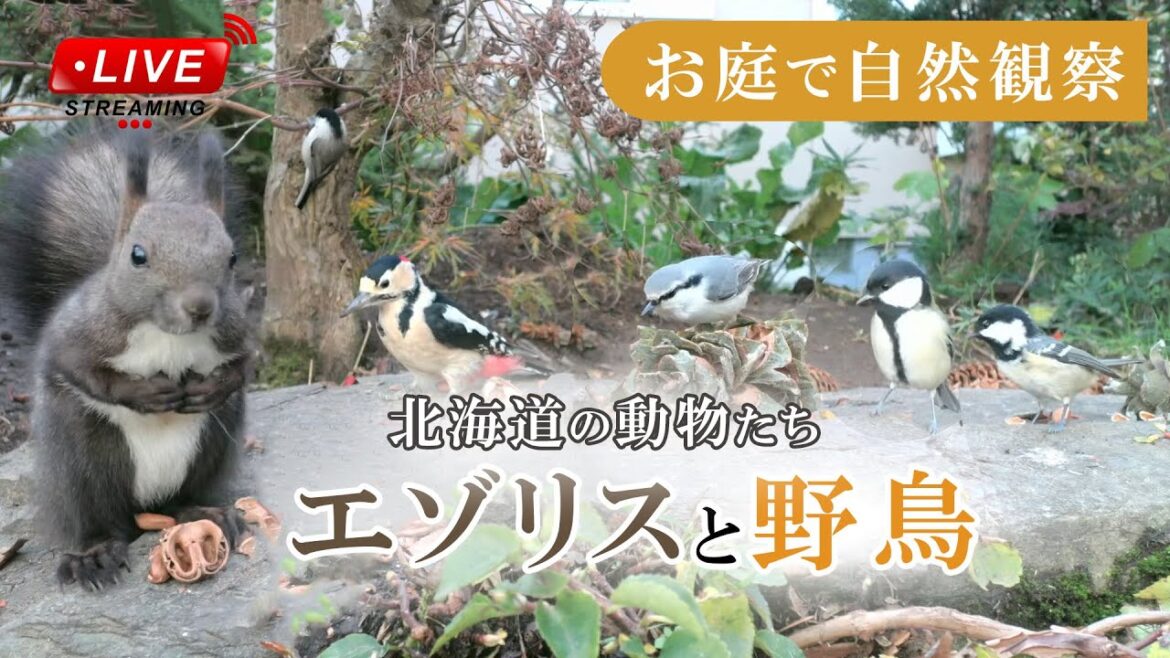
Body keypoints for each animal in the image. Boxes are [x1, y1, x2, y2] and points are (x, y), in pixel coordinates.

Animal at [0, 127, 254, 590]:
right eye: (138, 255)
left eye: (231, 257)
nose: (200, 307)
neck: (167, 334)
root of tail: (146, 508)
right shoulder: (79, 333)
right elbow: (79, 369)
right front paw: (145, 394)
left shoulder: (238, 329)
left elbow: (244, 366)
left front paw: (211, 387)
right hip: (81, 461)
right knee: (95, 519)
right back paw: (94, 554)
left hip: (212, 443)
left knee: (182, 500)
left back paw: (207, 512)